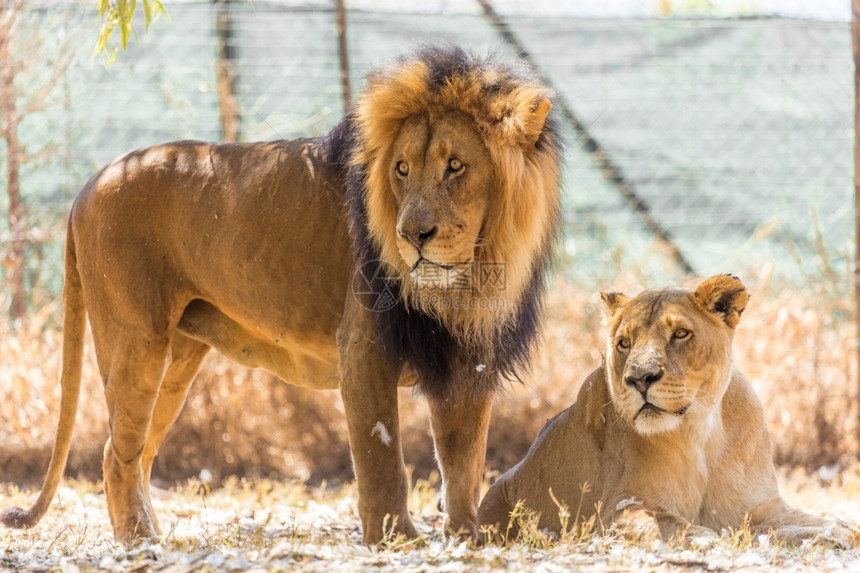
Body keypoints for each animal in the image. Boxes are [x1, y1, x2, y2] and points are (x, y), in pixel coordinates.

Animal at [0, 47, 560, 544]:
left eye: (455, 166)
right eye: (401, 169)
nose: (410, 235)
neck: (466, 285)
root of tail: (88, 184)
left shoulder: (469, 358)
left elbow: (464, 463)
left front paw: (468, 538)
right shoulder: (363, 348)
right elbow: (382, 457)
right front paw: (395, 541)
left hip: (177, 359)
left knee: (131, 451)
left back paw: (153, 535)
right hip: (136, 341)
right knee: (118, 455)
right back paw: (142, 544)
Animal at [480, 276, 856, 544]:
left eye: (680, 334)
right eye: (624, 343)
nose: (639, 379)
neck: (700, 429)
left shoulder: (761, 508)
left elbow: (809, 522)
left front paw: (837, 531)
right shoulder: (616, 509)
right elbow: (671, 524)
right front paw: (710, 538)